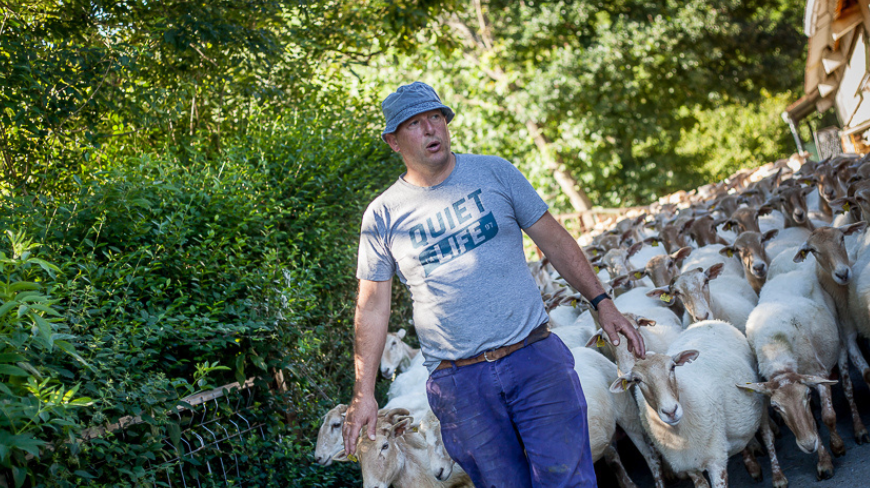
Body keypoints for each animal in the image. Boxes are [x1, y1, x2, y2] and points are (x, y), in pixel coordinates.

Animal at [608, 320, 764, 488]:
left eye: (673, 367)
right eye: (637, 380)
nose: (671, 411)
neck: (678, 434)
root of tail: (709, 322)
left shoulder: (716, 459)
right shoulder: (687, 464)